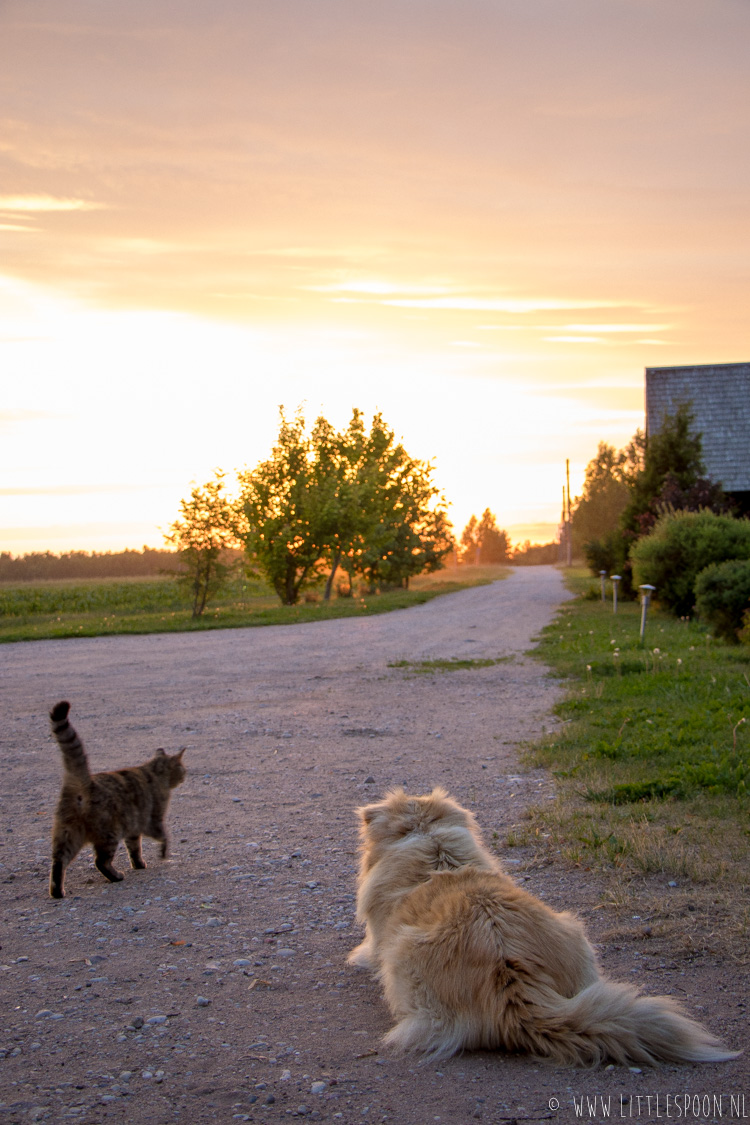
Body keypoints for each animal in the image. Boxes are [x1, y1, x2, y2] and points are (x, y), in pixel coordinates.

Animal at [48, 702, 186, 895]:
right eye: (182, 768)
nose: (185, 776)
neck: (154, 770)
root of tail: (86, 783)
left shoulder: (134, 827)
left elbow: (135, 848)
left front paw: (138, 864)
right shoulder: (153, 819)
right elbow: (164, 836)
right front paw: (164, 853)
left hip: (68, 833)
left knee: (58, 862)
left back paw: (57, 892)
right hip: (109, 833)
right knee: (100, 861)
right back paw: (116, 876)